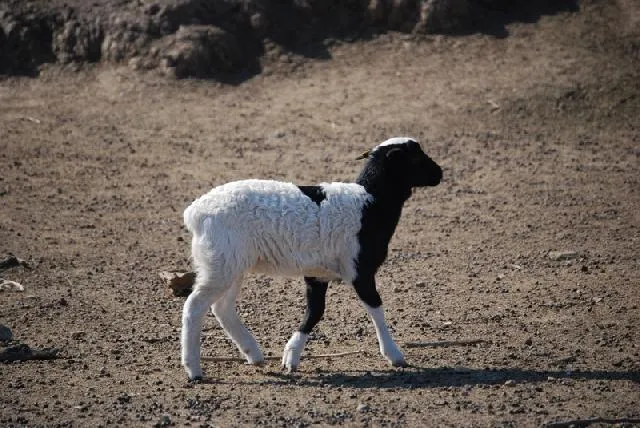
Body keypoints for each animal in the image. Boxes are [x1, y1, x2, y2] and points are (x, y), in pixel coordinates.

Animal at [180, 135, 440, 380]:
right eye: (416, 157)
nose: (440, 173)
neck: (370, 202)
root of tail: (195, 213)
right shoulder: (360, 268)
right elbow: (375, 307)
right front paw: (394, 355)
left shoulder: (317, 274)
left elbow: (315, 311)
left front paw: (291, 356)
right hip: (221, 263)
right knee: (194, 306)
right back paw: (194, 369)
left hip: (230, 263)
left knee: (222, 307)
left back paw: (254, 354)